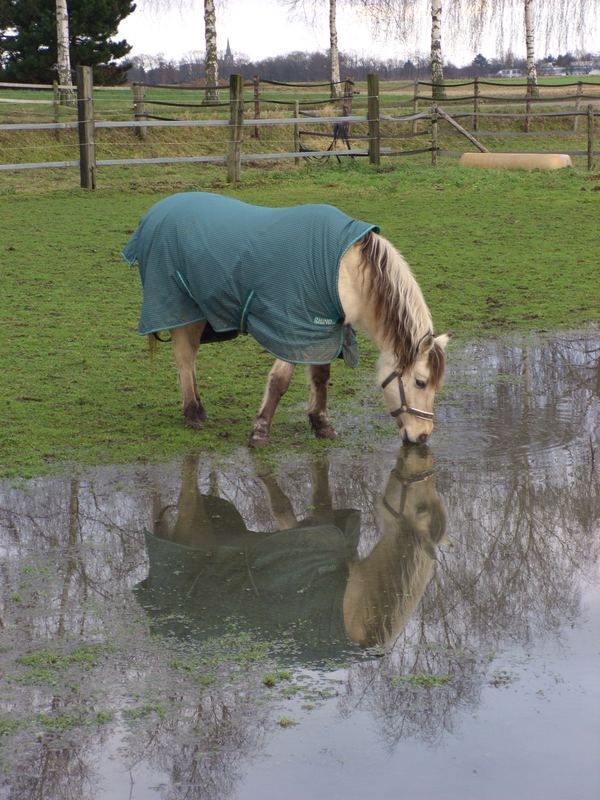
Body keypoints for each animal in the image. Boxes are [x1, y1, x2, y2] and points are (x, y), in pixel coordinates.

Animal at [122, 191, 448, 446]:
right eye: (420, 382)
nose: (423, 436)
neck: (346, 271)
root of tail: (155, 214)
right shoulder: (293, 328)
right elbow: (280, 381)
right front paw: (260, 431)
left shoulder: (322, 330)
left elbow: (320, 377)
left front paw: (321, 424)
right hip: (181, 307)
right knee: (184, 357)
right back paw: (192, 413)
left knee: (189, 358)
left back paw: (198, 408)